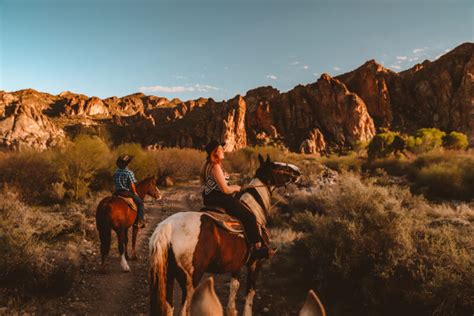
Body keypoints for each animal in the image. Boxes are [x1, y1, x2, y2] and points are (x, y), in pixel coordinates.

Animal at [148, 155, 300, 316]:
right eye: (277, 166)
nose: (298, 172)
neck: (254, 210)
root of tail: (167, 227)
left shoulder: (237, 265)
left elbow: (234, 289)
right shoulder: (255, 263)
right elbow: (250, 294)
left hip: (169, 277)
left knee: (169, 307)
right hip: (190, 280)